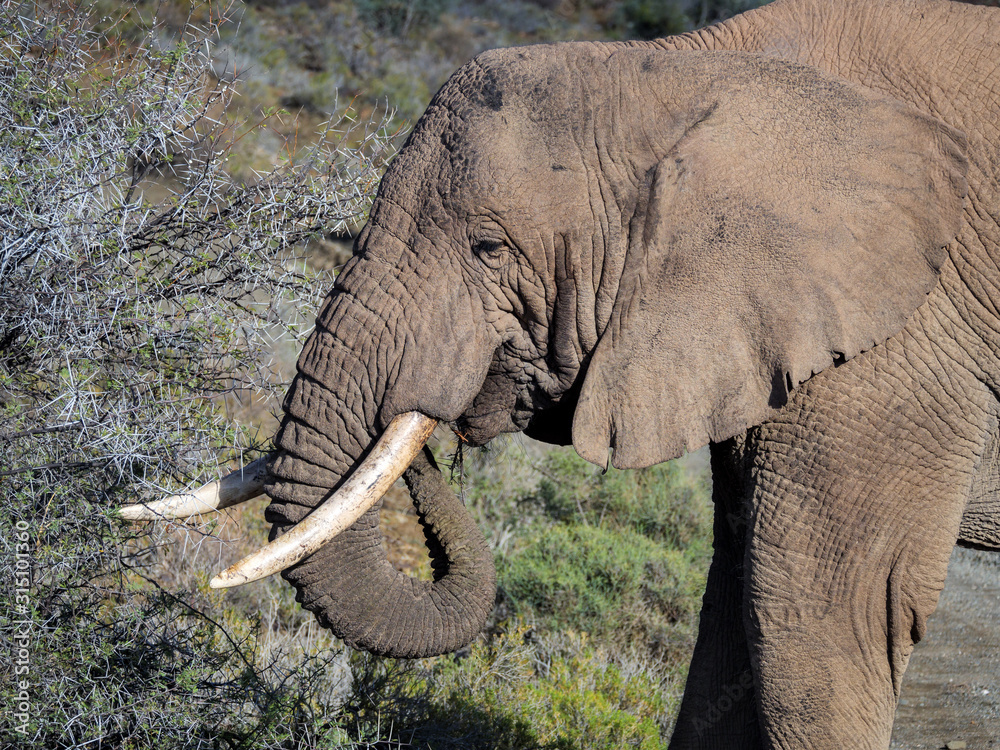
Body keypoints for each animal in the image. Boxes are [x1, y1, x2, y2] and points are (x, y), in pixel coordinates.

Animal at [125, 0, 1000, 748]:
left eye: (489, 248)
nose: (431, 430)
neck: (682, 71)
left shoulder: (901, 337)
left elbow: (830, 614)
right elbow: (735, 611)